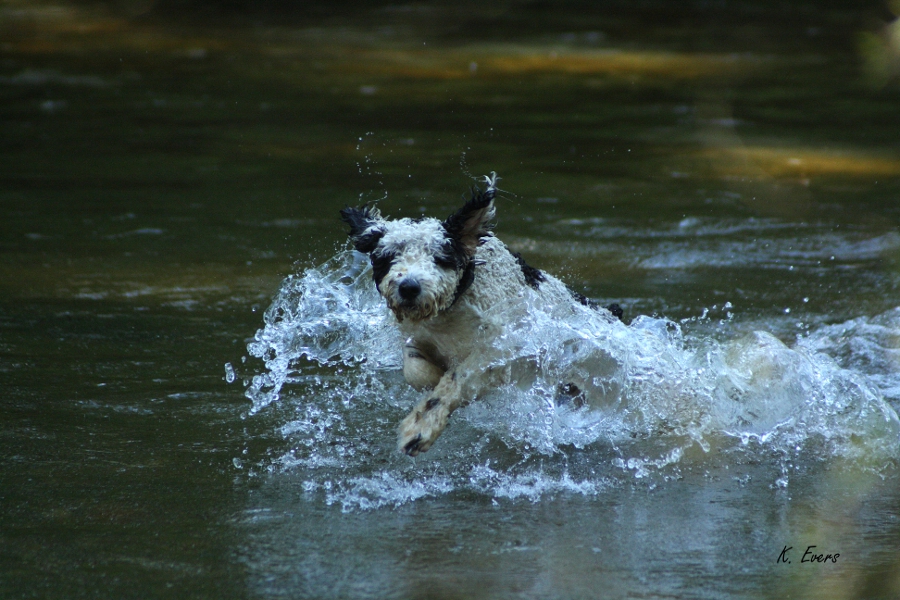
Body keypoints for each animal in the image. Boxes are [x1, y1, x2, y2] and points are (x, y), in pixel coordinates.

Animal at [338, 173, 620, 454]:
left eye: (440, 256)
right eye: (388, 257)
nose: (408, 287)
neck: (454, 309)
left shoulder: (498, 352)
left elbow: (456, 380)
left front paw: (420, 428)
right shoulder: (418, 336)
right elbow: (415, 369)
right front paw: (432, 378)